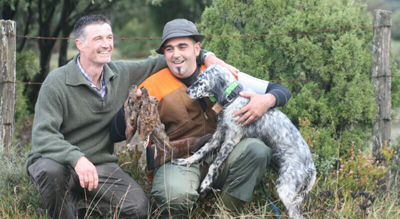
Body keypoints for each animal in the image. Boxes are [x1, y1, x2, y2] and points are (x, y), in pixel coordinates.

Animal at [172, 64, 316, 217]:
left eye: (201, 80)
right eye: (197, 77)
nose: (187, 91)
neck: (233, 98)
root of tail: (311, 166)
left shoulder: (231, 139)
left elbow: (214, 164)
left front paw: (206, 183)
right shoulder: (218, 135)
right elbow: (200, 152)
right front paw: (184, 161)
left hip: (286, 189)